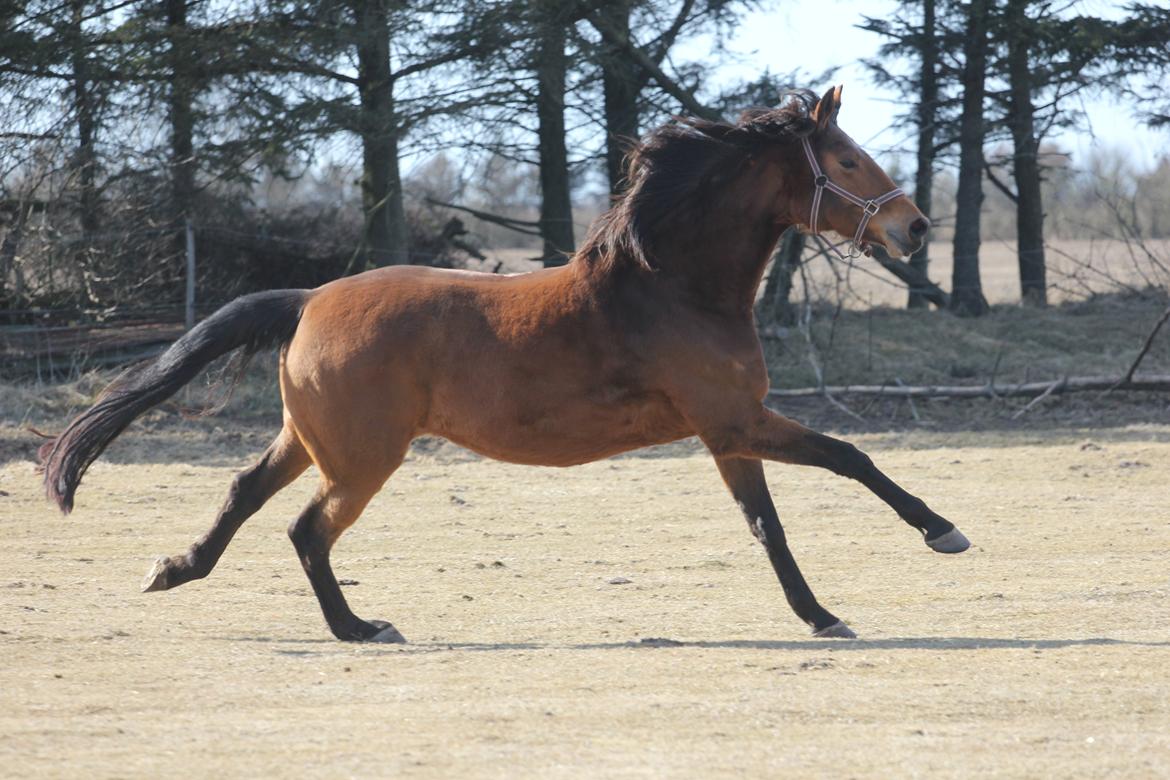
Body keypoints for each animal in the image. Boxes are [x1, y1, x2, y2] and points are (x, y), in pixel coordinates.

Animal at [38, 88, 968, 645]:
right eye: (846, 160)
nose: (916, 227)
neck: (673, 287)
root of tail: (309, 299)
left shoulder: (728, 436)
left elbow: (766, 526)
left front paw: (820, 616)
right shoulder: (736, 422)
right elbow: (851, 458)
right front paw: (940, 530)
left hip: (310, 440)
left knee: (241, 494)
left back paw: (175, 570)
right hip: (363, 458)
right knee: (306, 531)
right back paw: (359, 629)